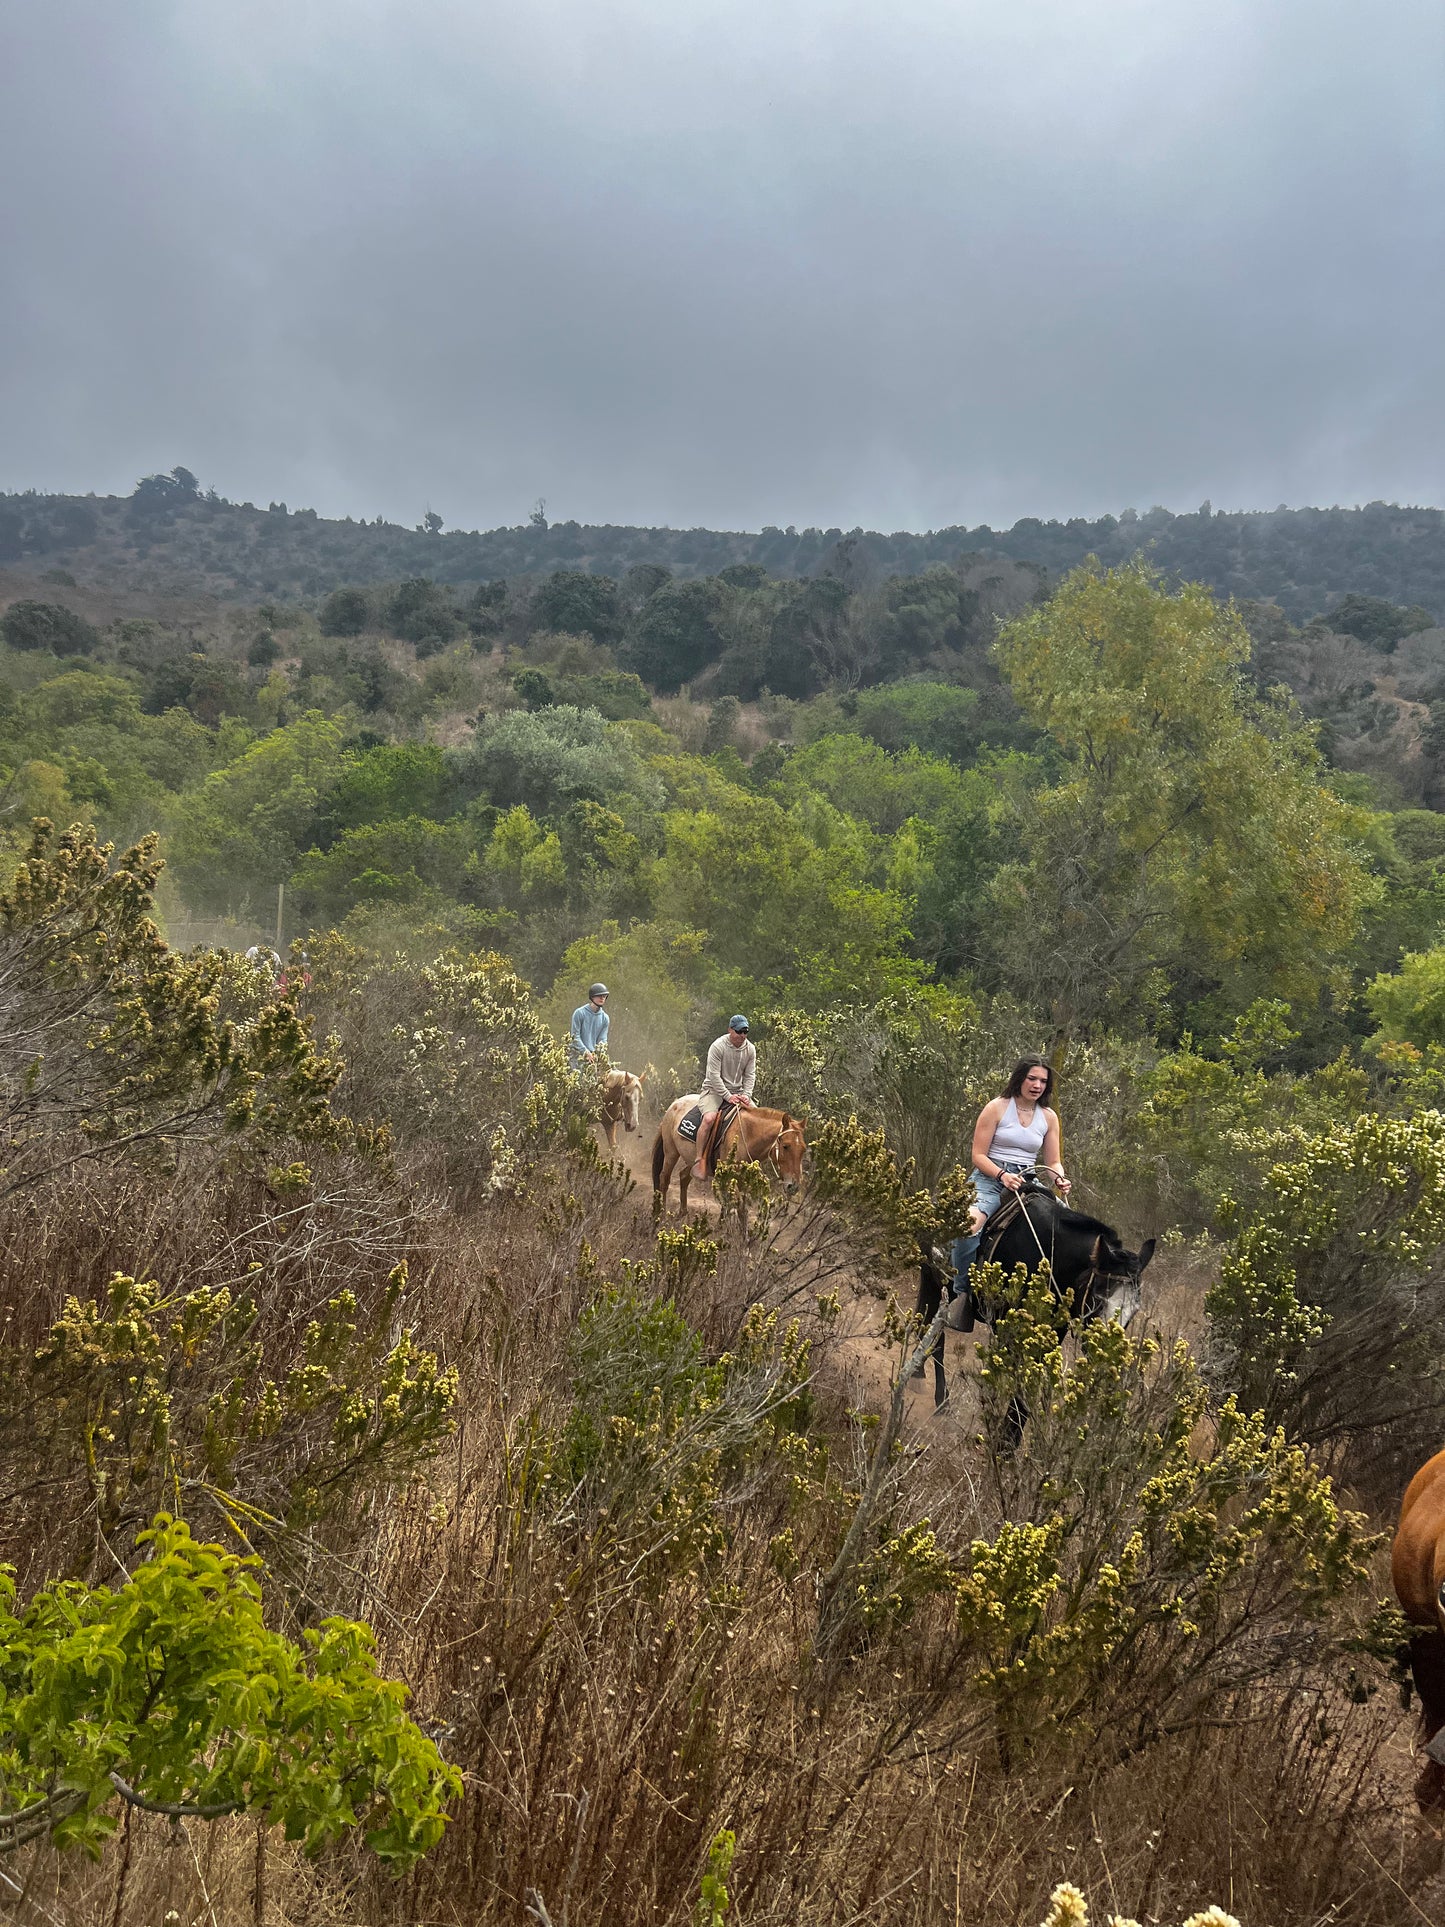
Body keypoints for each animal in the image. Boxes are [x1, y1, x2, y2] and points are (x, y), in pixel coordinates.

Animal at [655, 1094, 809, 1210]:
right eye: (786, 1146)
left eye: (803, 1149)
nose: (794, 1186)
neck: (746, 1134)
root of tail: (675, 1103)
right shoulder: (729, 1178)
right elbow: (736, 1207)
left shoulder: (740, 1181)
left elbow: (732, 1207)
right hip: (671, 1152)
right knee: (664, 1179)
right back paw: (661, 1214)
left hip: (691, 1160)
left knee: (684, 1177)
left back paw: (682, 1213)